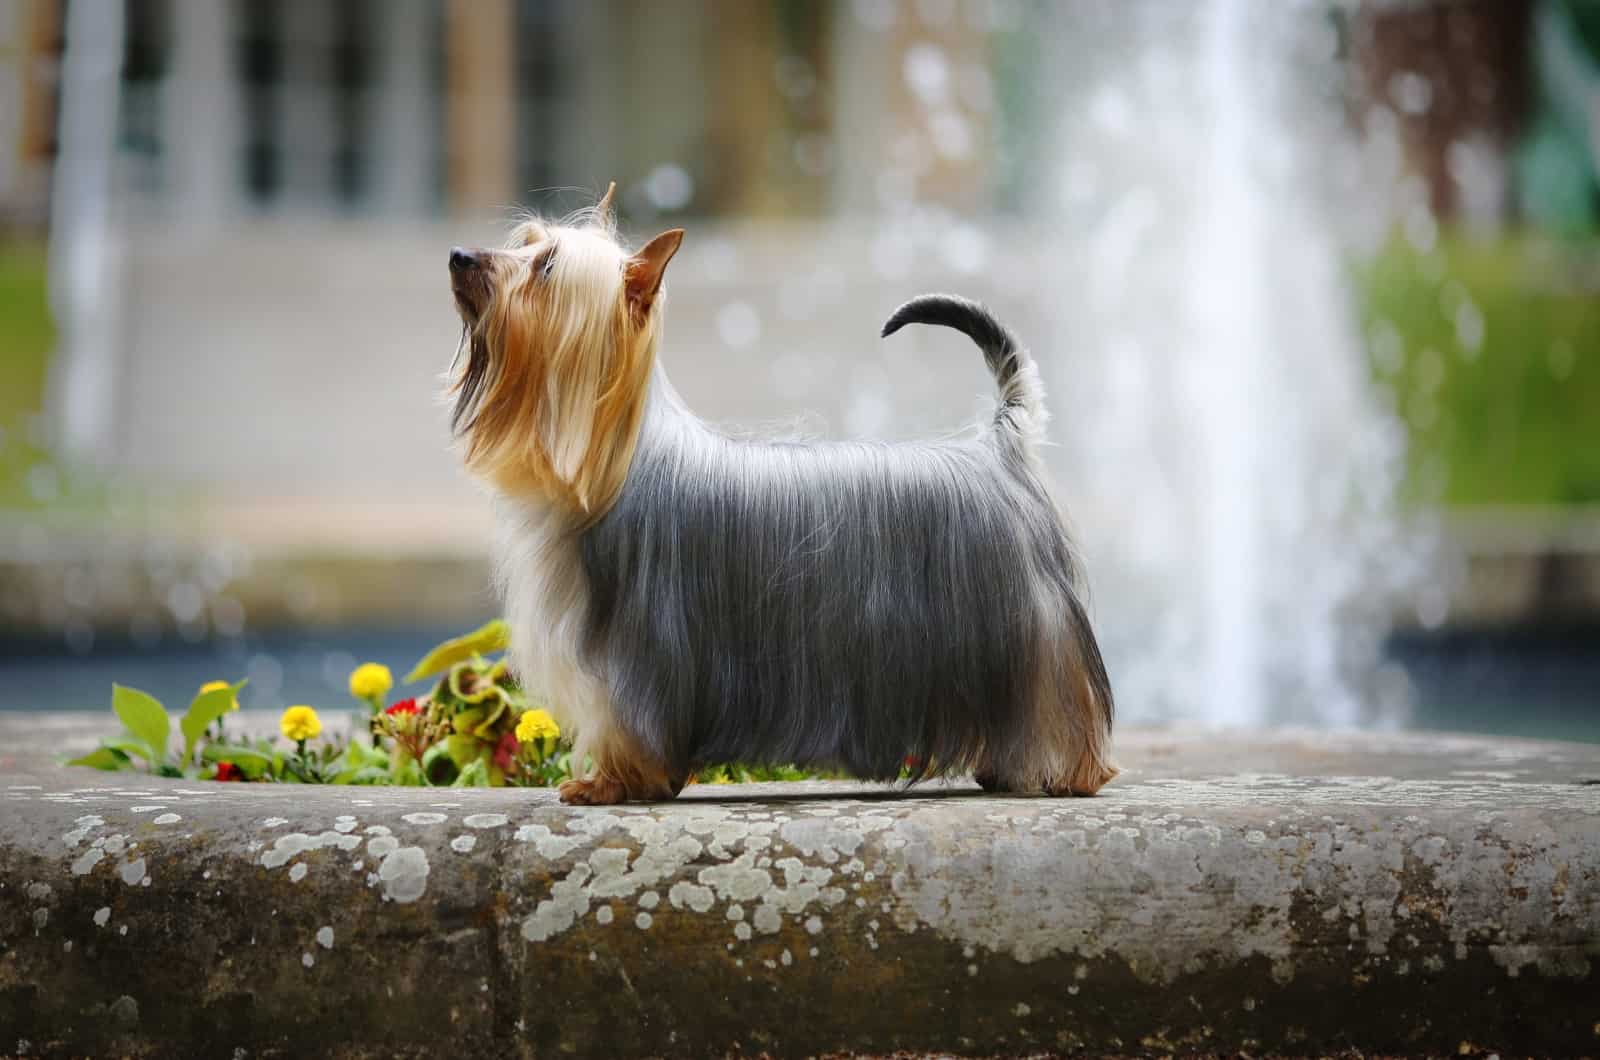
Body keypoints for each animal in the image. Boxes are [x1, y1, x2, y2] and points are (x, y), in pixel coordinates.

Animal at [438, 184, 1113, 807]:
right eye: (525, 244)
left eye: (548, 267)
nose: (460, 255)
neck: (613, 465)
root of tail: (1001, 444)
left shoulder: (636, 655)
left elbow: (628, 722)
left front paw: (610, 783)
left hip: (1028, 633)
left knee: (1056, 701)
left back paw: (1064, 771)